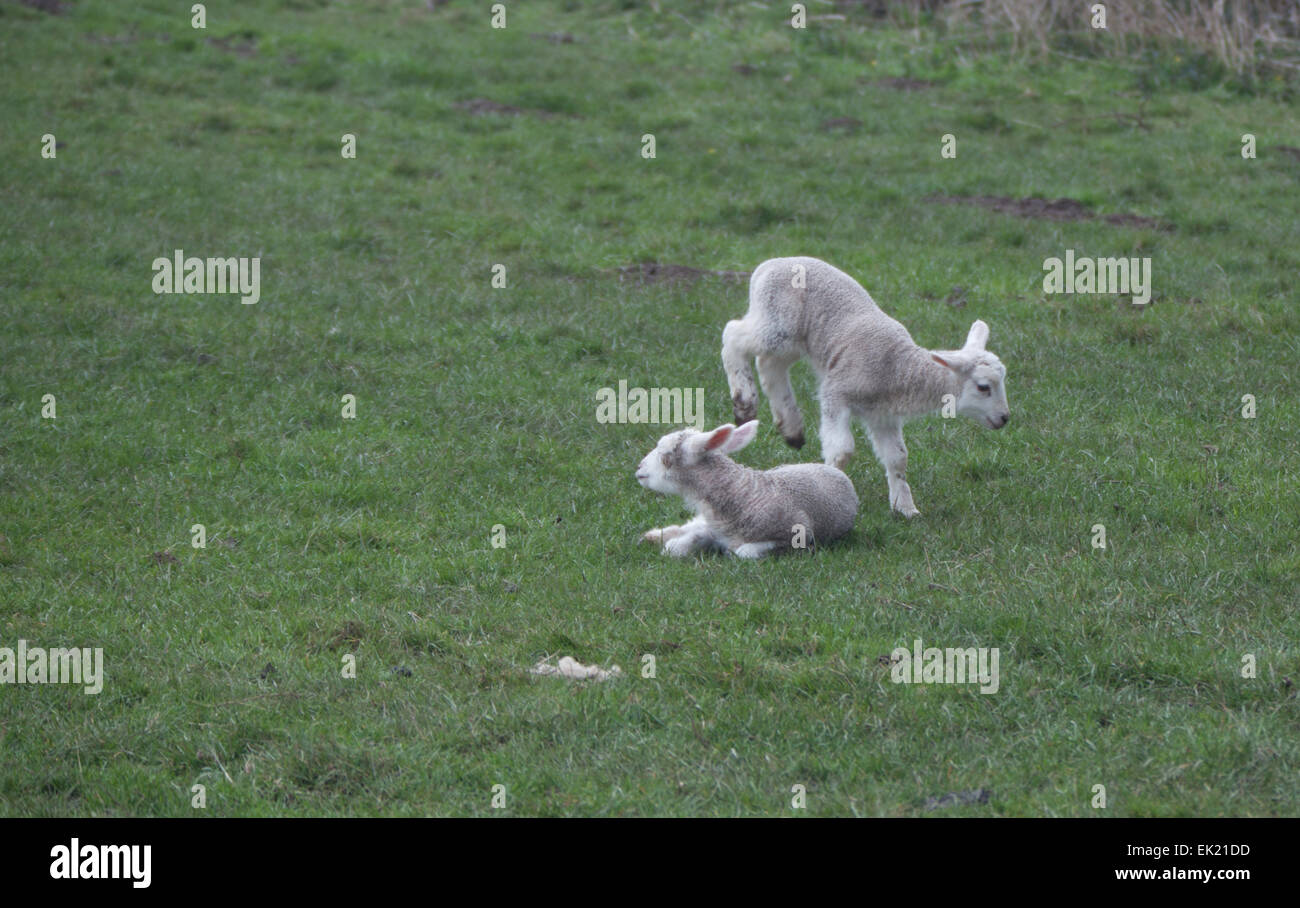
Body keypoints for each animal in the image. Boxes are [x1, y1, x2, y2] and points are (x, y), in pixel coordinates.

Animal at [634, 418, 857, 559]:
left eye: (665, 457)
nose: (638, 468)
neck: (744, 494)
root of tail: (835, 471)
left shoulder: (797, 536)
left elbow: (743, 552)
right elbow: (684, 542)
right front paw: (673, 542)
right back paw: (654, 536)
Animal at [722, 257, 1013, 520]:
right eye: (983, 387)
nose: (1004, 418)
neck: (899, 366)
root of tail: (768, 265)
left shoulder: (882, 414)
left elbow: (898, 458)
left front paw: (905, 508)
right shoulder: (836, 393)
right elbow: (842, 450)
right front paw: (833, 486)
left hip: (793, 338)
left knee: (769, 364)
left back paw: (791, 428)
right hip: (778, 322)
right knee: (734, 334)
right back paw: (744, 402)